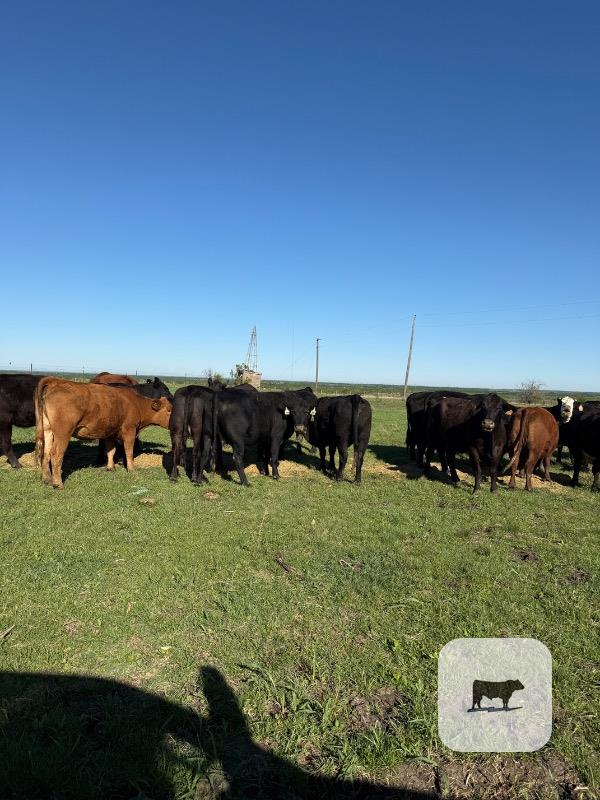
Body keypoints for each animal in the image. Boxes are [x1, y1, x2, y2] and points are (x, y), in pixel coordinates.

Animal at [34, 378, 171, 488]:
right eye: (169, 410)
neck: (136, 403)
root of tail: (56, 382)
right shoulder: (130, 430)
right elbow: (129, 452)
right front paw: (131, 469)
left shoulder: (110, 433)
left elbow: (110, 450)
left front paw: (110, 467)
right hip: (63, 433)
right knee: (56, 454)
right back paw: (58, 484)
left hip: (48, 430)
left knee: (45, 453)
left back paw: (47, 479)